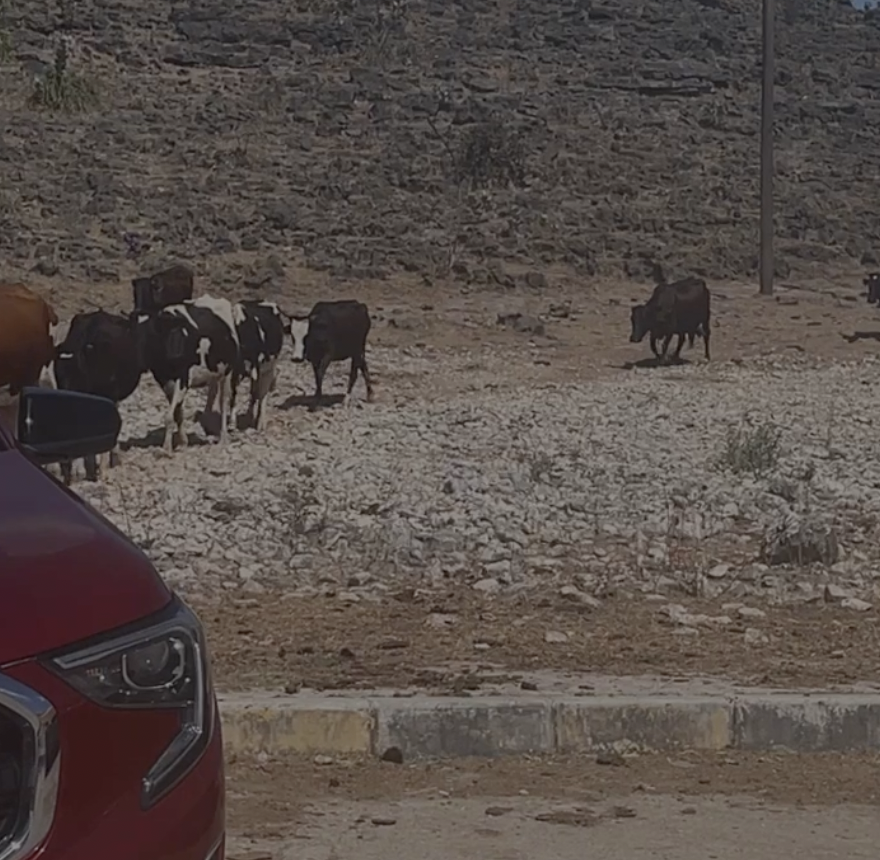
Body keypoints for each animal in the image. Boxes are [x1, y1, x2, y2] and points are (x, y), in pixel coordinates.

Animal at [133, 296, 241, 453]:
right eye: (134, 333)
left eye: (151, 333)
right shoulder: (164, 380)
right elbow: (178, 413)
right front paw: (183, 442)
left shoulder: (183, 378)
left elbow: (169, 416)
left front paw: (166, 448)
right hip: (213, 372)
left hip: (227, 371)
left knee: (223, 402)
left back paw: (223, 438)